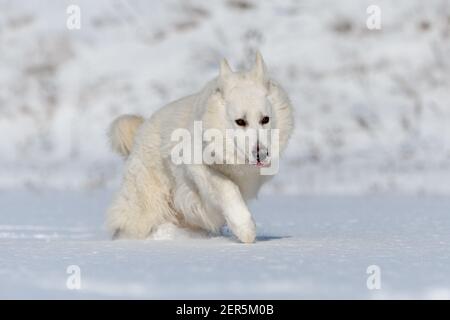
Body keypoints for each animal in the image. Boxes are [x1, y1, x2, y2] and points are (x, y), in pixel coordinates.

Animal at [107, 52, 294, 242]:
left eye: (265, 119)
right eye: (240, 121)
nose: (261, 154)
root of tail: (140, 132)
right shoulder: (197, 165)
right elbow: (228, 187)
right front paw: (245, 229)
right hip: (147, 207)